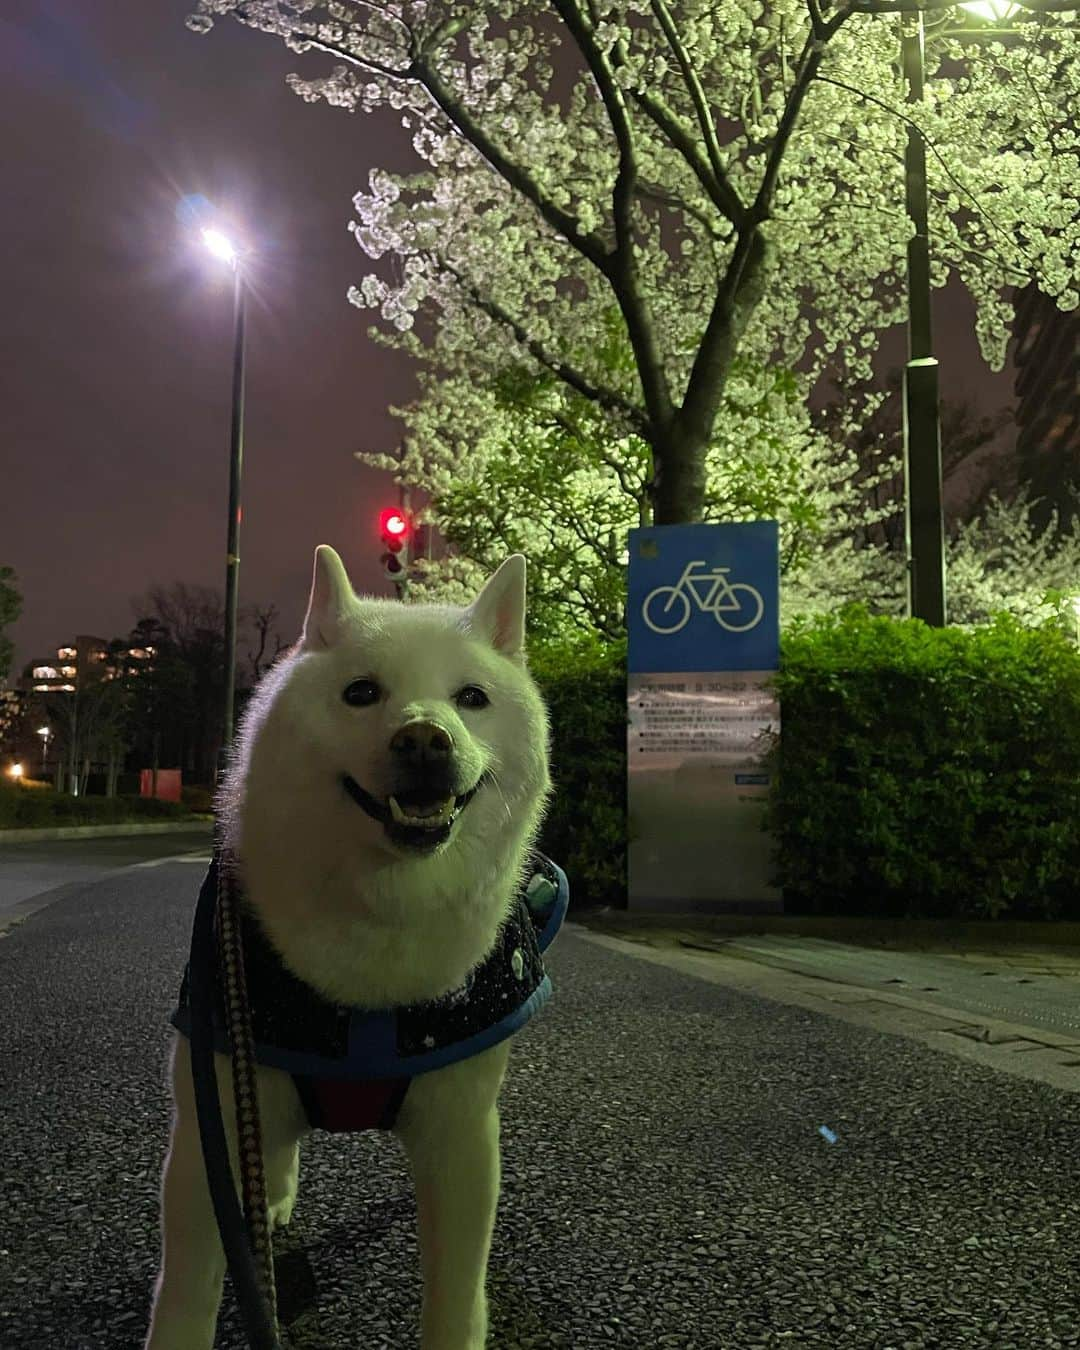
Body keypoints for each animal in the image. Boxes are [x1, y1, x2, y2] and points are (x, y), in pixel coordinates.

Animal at [145, 548, 564, 1350]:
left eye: (472, 698)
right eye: (361, 693)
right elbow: (185, 1296)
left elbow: (455, 1296)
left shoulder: (460, 1138)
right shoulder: (211, 1129)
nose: (425, 739)